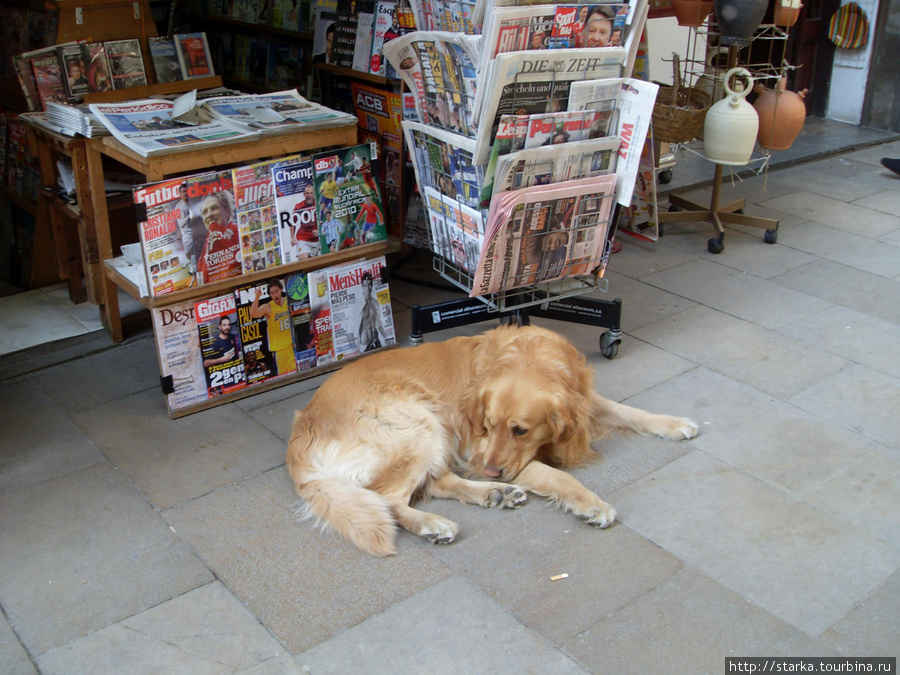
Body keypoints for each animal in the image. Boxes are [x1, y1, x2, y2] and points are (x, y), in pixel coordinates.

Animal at [286, 324, 696, 556]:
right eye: (487, 423)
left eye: (520, 430)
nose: (492, 472)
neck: (533, 356)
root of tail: (302, 427)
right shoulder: (479, 449)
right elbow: (559, 476)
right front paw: (592, 504)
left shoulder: (582, 401)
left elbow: (628, 410)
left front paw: (674, 423)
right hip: (418, 421)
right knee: (389, 498)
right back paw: (436, 523)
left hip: (430, 431)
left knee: (434, 482)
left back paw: (494, 495)